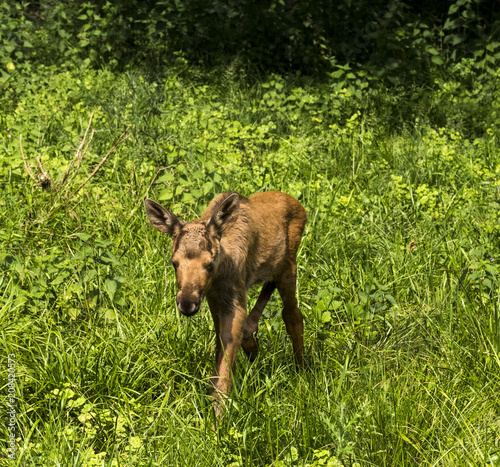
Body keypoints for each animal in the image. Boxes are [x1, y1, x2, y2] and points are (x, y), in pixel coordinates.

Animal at [145, 192, 306, 412]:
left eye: (209, 264)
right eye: (174, 262)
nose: (187, 303)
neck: (219, 276)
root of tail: (300, 207)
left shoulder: (235, 299)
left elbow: (224, 368)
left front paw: (219, 416)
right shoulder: (213, 299)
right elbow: (220, 350)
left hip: (289, 267)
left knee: (292, 315)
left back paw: (303, 375)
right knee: (266, 298)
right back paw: (253, 350)